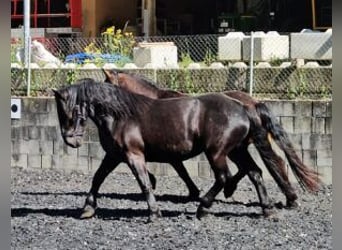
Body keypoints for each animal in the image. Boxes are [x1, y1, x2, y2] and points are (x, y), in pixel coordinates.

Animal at [53, 78, 320, 221]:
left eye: (68, 110)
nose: (71, 141)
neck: (121, 115)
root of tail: (244, 107)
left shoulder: (133, 155)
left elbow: (144, 182)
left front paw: (154, 213)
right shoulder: (114, 156)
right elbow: (97, 178)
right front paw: (87, 209)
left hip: (217, 152)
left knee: (225, 177)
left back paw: (204, 207)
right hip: (236, 150)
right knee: (255, 173)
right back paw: (268, 209)